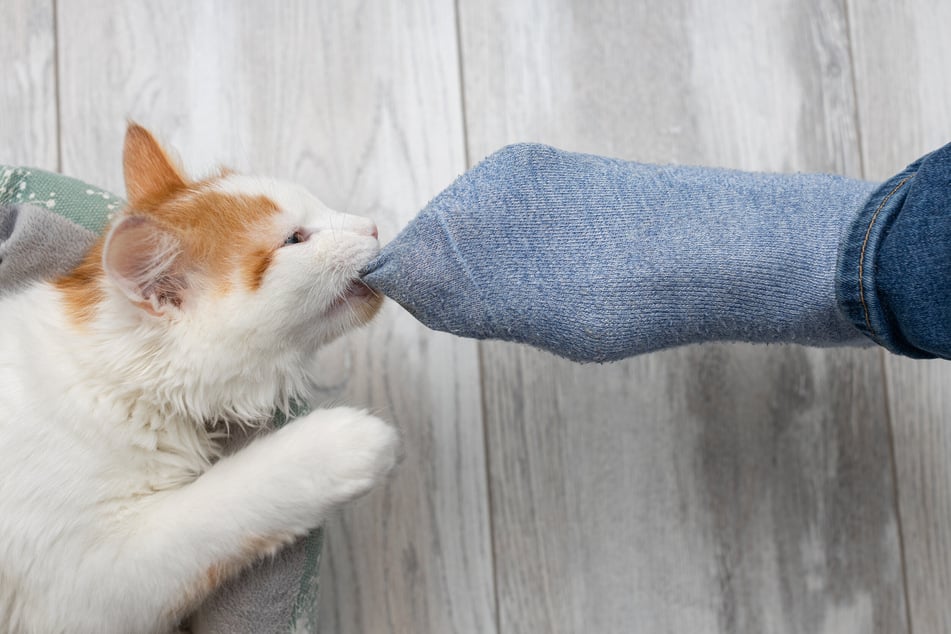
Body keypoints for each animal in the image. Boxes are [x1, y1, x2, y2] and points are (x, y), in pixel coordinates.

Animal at [0, 124, 398, 632]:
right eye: (294, 238)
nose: (373, 226)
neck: (115, 381)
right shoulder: (85, 588)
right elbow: (219, 505)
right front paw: (336, 445)